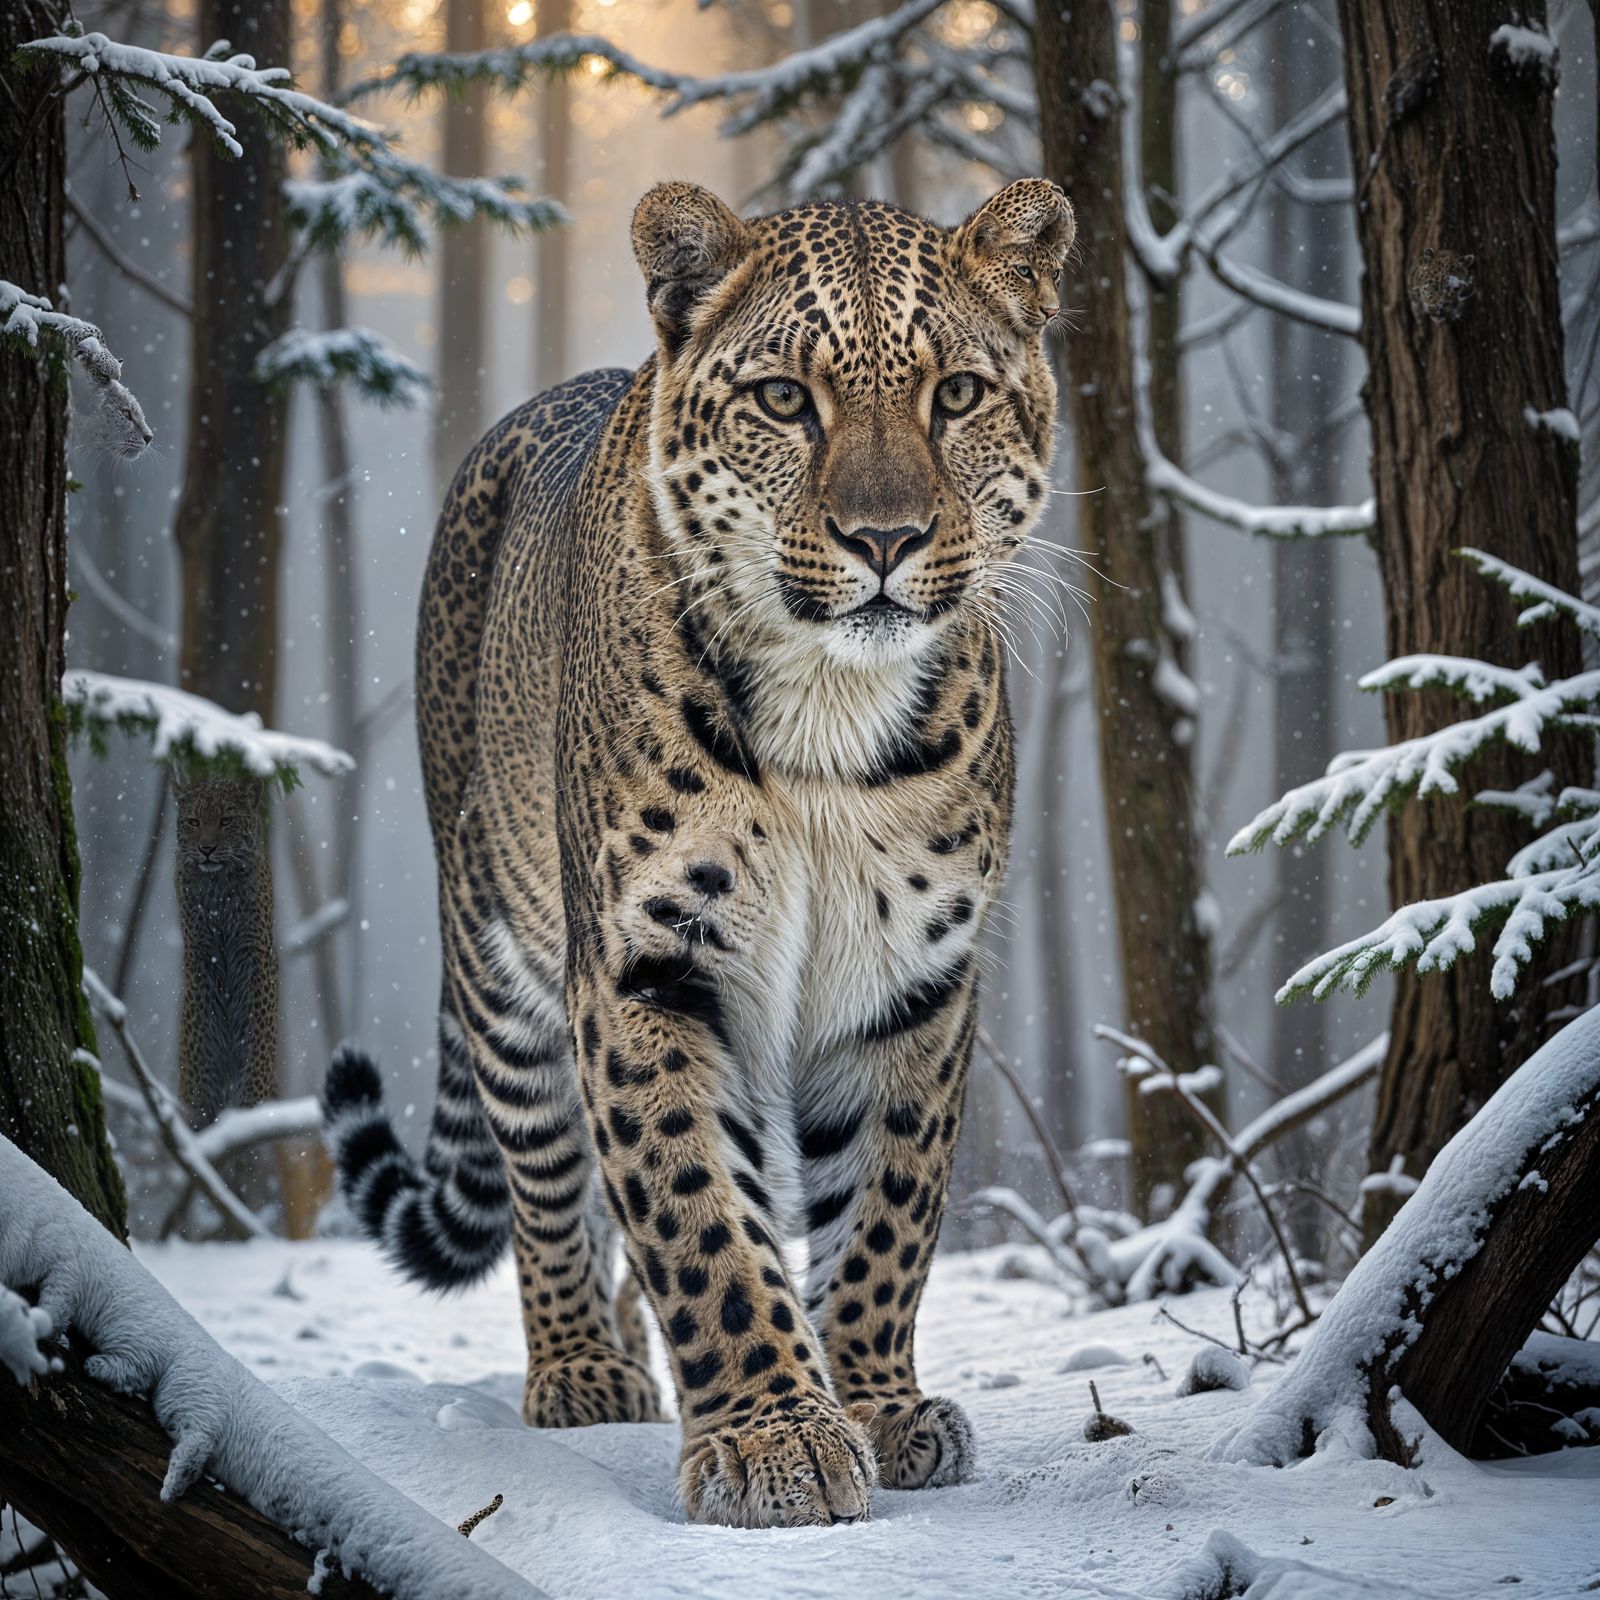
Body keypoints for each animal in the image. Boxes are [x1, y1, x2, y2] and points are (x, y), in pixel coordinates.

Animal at [323, 177, 1063, 1529]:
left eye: (955, 395)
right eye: (783, 399)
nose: (885, 538)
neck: (831, 706)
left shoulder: (914, 977)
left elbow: (886, 1206)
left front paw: (874, 1402)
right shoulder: (649, 963)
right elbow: (695, 1213)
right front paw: (775, 1437)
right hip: (500, 956)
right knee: (548, 1180)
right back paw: (583, 1366)